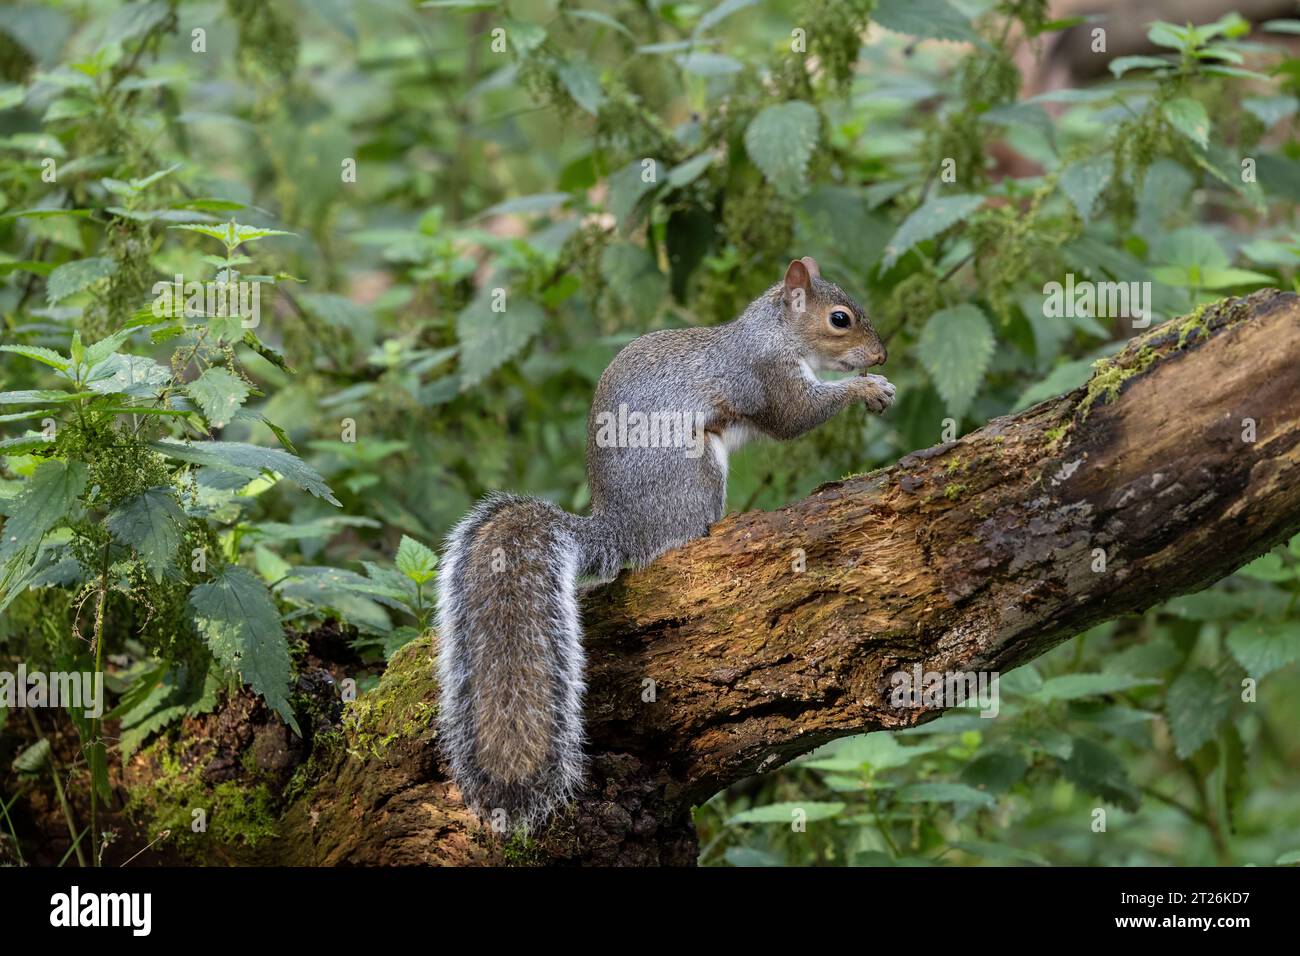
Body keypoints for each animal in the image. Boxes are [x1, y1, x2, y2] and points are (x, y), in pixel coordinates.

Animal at [436, 256, 894, 832]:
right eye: (839, 319)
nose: (881, 354)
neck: (772, 332)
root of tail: (620, 526)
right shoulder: (765, 376)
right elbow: (796, 417)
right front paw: (867, 387)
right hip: (695, 471)